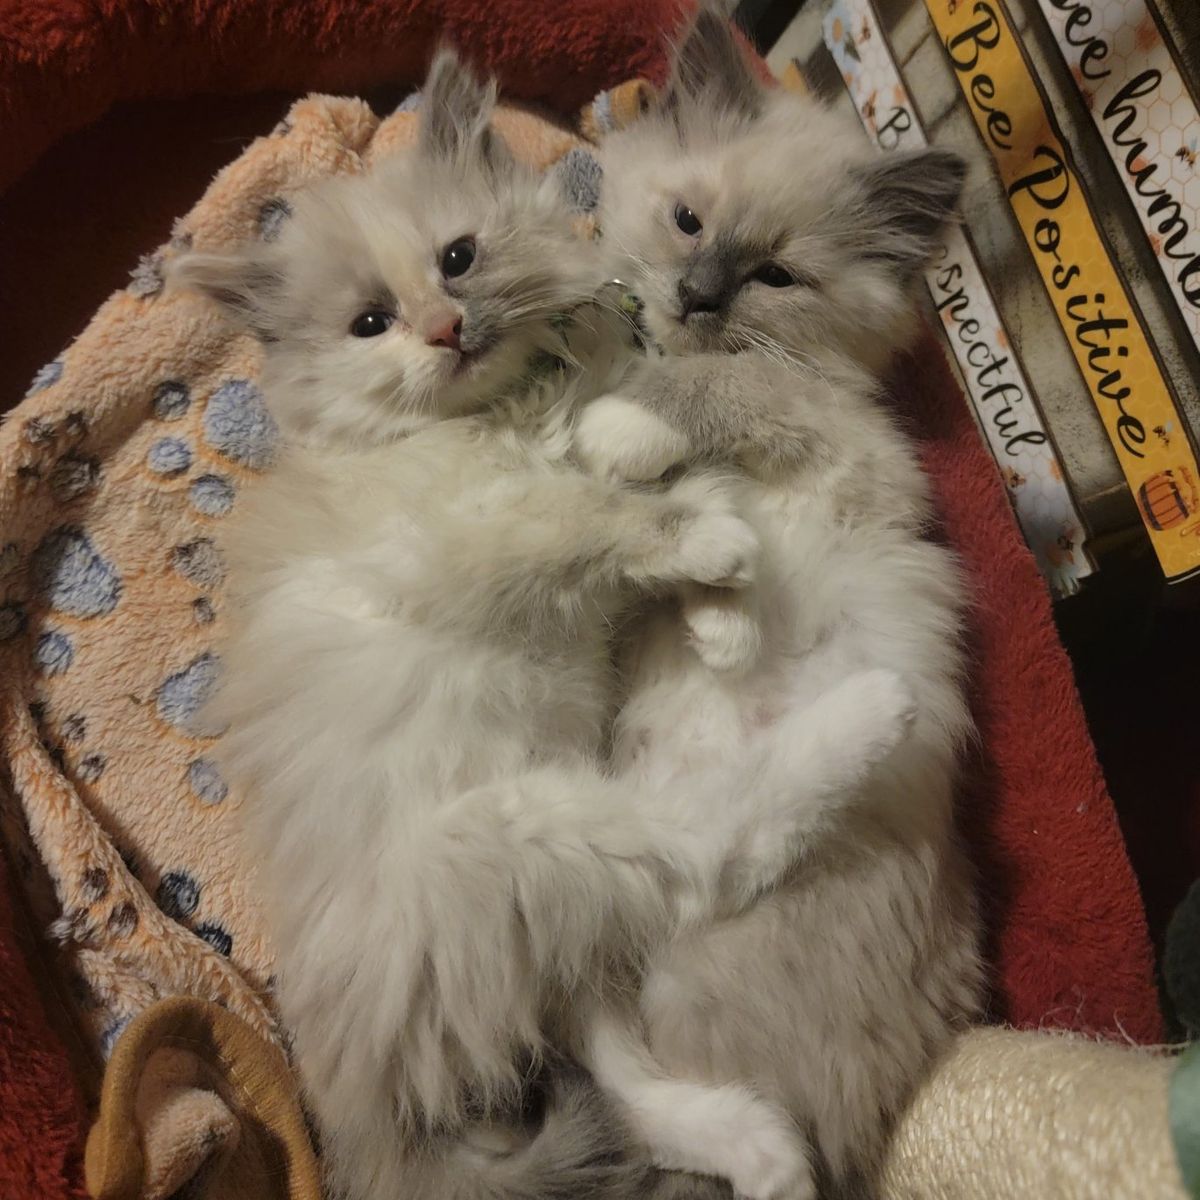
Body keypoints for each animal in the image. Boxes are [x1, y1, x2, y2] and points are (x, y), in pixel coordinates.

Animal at [169, 49, 920, 1200]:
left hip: (559, 902)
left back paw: (759, 1148)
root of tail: (360, 1120)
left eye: (459, 258)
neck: (510, 409)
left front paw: (726, 622)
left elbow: (669, 494)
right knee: (708, 855)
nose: (444, 329)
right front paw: (720, 564)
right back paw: (876, 712)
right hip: (528, 832)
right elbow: (607, 520)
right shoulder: (475, 534)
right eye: (370, 323)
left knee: (618, 1065)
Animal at [573, 8, 984, 1198]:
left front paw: (622, 430)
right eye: (688, 223)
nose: (697, 297)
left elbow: (717, 396)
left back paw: (772, 1159)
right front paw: (717, 619)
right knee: (623, 1064)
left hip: (699, 914)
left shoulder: (823, 427)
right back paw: (765, 1155)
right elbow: (693, 541)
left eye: (774, 276)